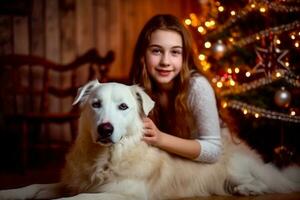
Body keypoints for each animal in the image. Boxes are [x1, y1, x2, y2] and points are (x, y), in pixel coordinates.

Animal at [0, 80, 300, 199]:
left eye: (123, 107)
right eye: (96, 104)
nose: (105, 129)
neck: (107, 157)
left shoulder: (123, 193)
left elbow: (75, 199)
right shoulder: (72, 181)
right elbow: (33, 186)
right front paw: (9, 192)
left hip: (235, 168)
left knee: (261, 181)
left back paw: (247, 189)